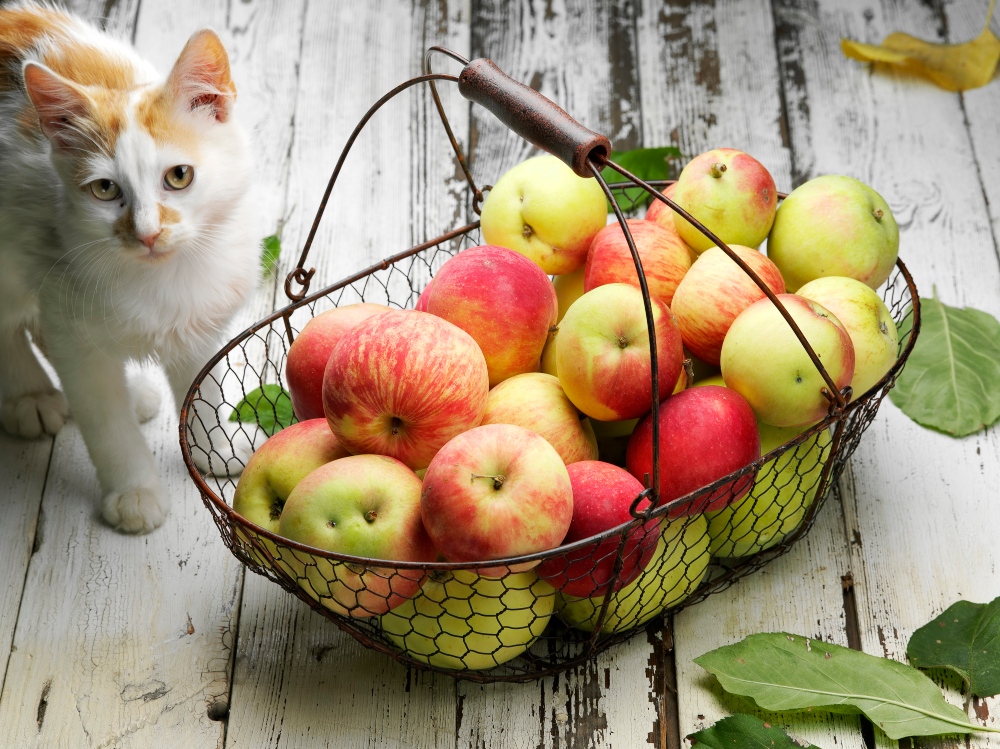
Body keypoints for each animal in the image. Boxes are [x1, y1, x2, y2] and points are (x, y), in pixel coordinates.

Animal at [0, 2, 262, 536]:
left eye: (179, 177)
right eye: (104, 190)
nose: (147, 232)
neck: (165, 278)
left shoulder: (201, 321)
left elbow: (201, 390)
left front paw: (213, 451)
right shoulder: (70, 317)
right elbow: (106, 424)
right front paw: (134, 493)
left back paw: (136, 392)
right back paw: (29, 395)